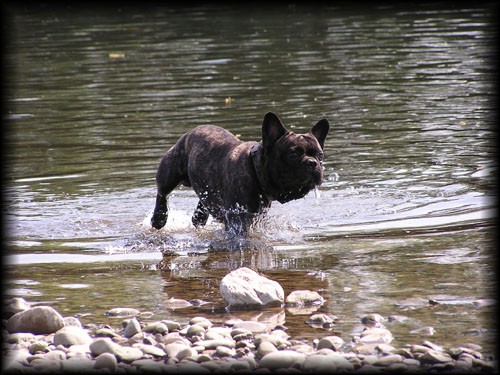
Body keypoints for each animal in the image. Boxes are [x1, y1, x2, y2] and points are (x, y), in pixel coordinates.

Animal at [150, 111, 330, 236]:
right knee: (162, 191)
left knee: (203, 200)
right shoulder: (237, 218)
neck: (256, 168)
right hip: (170, 170)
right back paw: (159, 218)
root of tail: (192, 130)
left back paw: (199, 218)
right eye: (293, 155)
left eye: (320, 155)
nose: (312, 163)